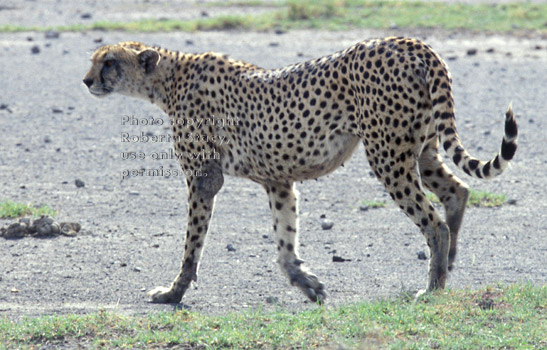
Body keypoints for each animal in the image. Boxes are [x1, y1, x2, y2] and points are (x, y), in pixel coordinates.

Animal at [84, 37, 520, 304]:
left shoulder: (204, 178)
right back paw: (448, 269)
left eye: (109, 62)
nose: (87, 80)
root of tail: (408, 42)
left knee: (434, 222)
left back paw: (431, 287)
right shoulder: (277, 180)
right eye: (94, 60)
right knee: (456, 191)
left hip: (388, 156)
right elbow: (285, 240)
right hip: (423, 148)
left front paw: (173, 293)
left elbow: (192, 244)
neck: (168, 77)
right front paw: (306, 284)